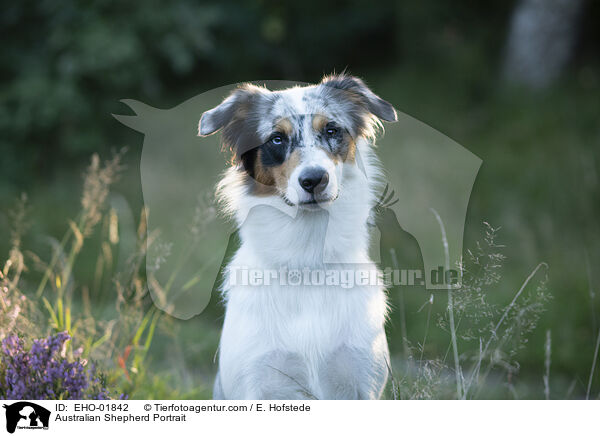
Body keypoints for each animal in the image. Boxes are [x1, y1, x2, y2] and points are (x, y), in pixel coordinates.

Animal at [200, 74, 398, 398]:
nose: (314, 179)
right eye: (276, 139)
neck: (307, 263)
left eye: (331, 130)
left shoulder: (361, 379)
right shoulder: (259, 382)